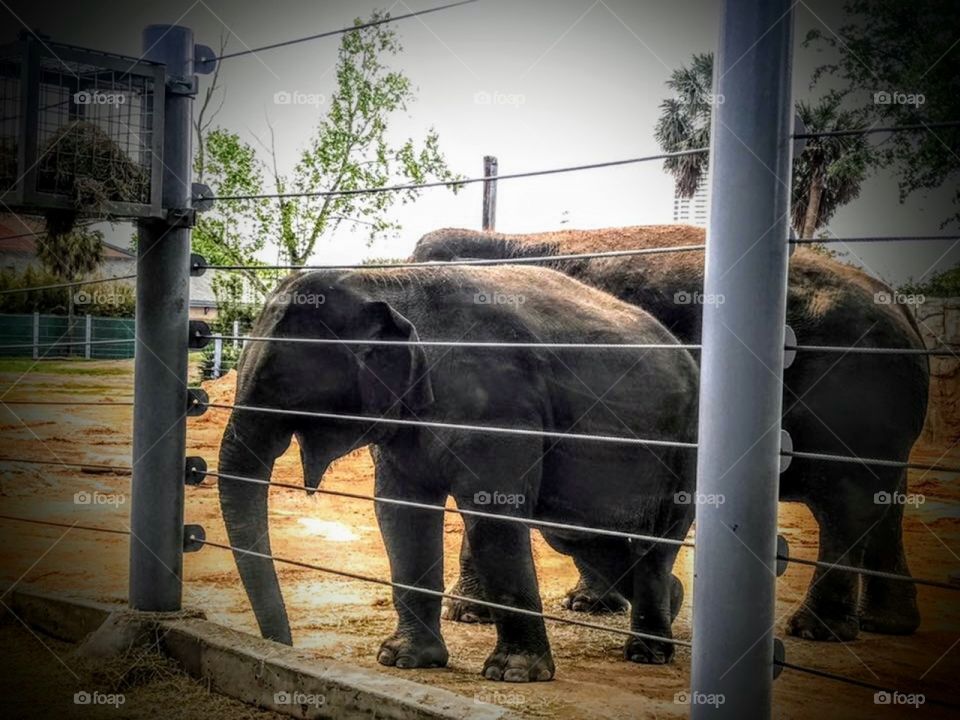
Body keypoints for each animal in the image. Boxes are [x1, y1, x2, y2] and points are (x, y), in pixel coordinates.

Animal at [218, 264, 696, 680]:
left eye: (279, 390)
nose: (283, 646)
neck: (386, 281)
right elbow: (401, 514)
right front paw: (402, 660)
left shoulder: (500, 411)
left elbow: (493, 516)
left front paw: (514, 674)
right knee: (576, 536)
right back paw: (671, 601)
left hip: (685, 449)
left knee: (656, 538)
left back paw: (648, 651)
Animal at [410, 225, 928, 640]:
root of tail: (903, 308)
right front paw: (586, 605)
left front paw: (467, 614)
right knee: (884, 503)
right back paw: (886, 625)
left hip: (854, 395)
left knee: (845, 506)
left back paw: (814, 631)